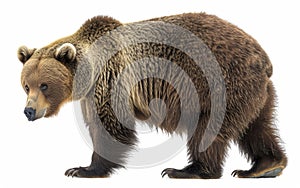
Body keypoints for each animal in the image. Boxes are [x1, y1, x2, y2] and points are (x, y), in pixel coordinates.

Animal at [18, 12, 286, 178]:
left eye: (44, 85)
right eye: (26, 86)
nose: (29, 110)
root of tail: (264, 59)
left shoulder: (111, 79)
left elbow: (110, 127)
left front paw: (83, 169)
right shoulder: (92, 92)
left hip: (219, 84)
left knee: (208, 131)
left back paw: (188, 171)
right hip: (257, 93)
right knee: (258, 127)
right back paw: (266, 166)